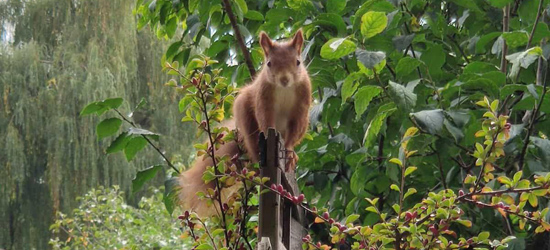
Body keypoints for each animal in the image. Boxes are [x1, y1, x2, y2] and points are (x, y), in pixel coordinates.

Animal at [180, 29, 312, 216]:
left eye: (298, 62)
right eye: (269, 63)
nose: (284, 79)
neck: (284, 89)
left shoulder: (302, 105)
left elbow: (295, 130)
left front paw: (290, 151)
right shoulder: (263, 99)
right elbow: (266, 121)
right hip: (246, 120)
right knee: (254, 148)